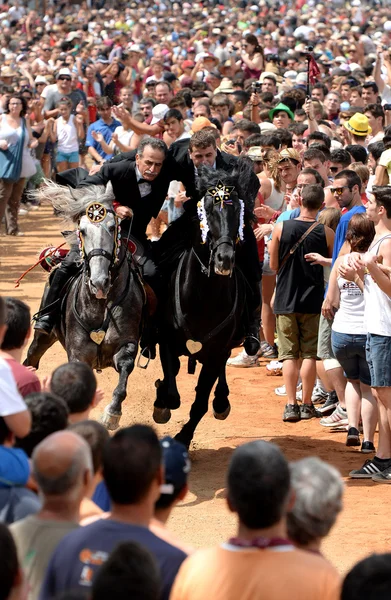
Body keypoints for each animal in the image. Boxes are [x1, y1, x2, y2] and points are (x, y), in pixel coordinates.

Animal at [152, 162, 258, 448]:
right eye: (207, 210)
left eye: (237, 211)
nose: (224, 259)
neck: (204, 299)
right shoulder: (166, 342)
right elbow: (171, 392)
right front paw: (161, 403)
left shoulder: (217, 352)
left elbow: (199, 402)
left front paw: (183, 438)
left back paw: (221, 401)